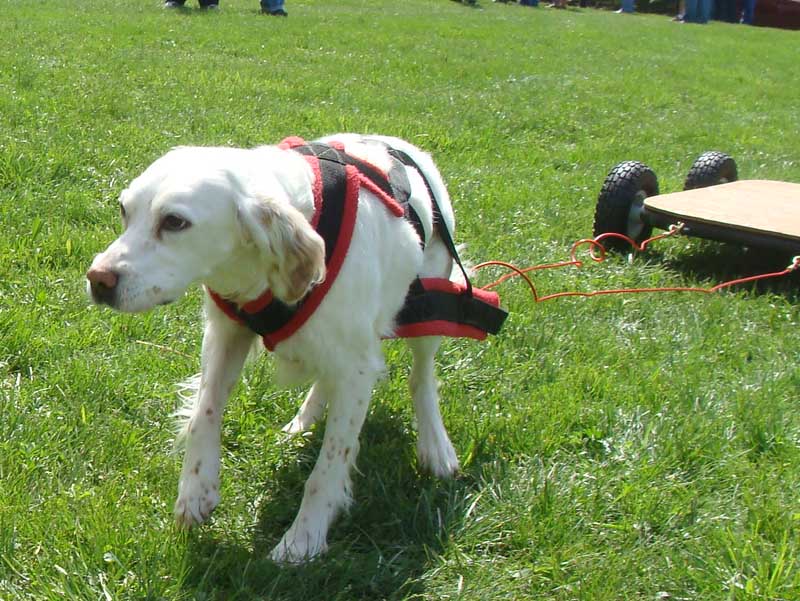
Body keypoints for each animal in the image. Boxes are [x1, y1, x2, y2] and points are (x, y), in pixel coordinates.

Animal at [84, 135, 504, 564]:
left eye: (175, 222)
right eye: (124, 210)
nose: (97, 280)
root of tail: (406, 148)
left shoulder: (357, 367)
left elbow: (329, 464)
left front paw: (303, 538)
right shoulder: (226, 333)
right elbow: (204, 411)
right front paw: (197, 490)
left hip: (431, 300)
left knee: (422, 377)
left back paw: (436, 447)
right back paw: (303, 421)